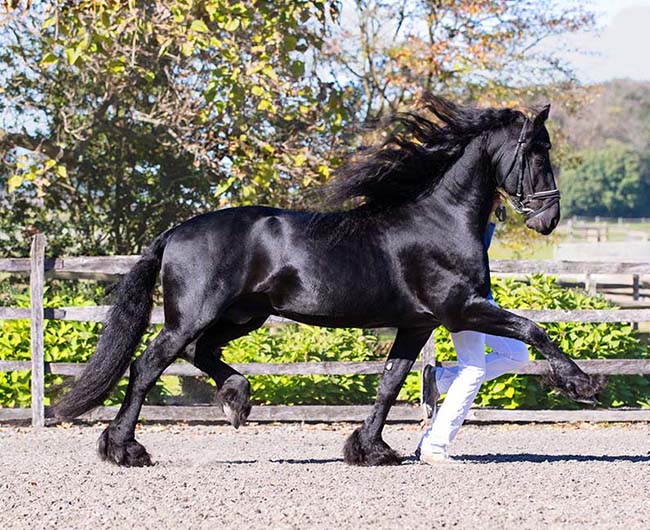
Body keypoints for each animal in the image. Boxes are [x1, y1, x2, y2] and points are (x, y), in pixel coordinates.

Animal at [54, 95, 605, 467]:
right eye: (537, 152)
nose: (549, 218)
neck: (440, 221)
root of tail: (174, 232)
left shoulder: (418, 324)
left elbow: (390, 382)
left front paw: (371, 450)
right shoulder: (462, 309)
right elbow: (534, 329)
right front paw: (582, 385)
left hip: (244, 315)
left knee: (199, 352)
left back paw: (237, 397)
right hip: (195, 315)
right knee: (148, 365)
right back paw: (126, 448)